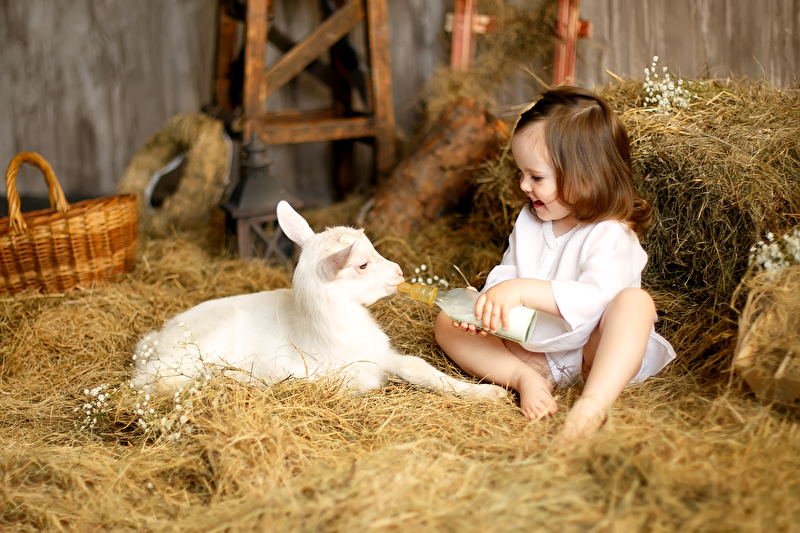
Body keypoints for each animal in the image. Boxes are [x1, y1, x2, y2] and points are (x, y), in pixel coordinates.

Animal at [130, 201, 506, 401]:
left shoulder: (379, 355)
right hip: (188, 355)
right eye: (362, 264)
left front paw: (487, 393)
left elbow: (419, 367)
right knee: (154, 382)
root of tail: (153, 340)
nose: (399, 272)